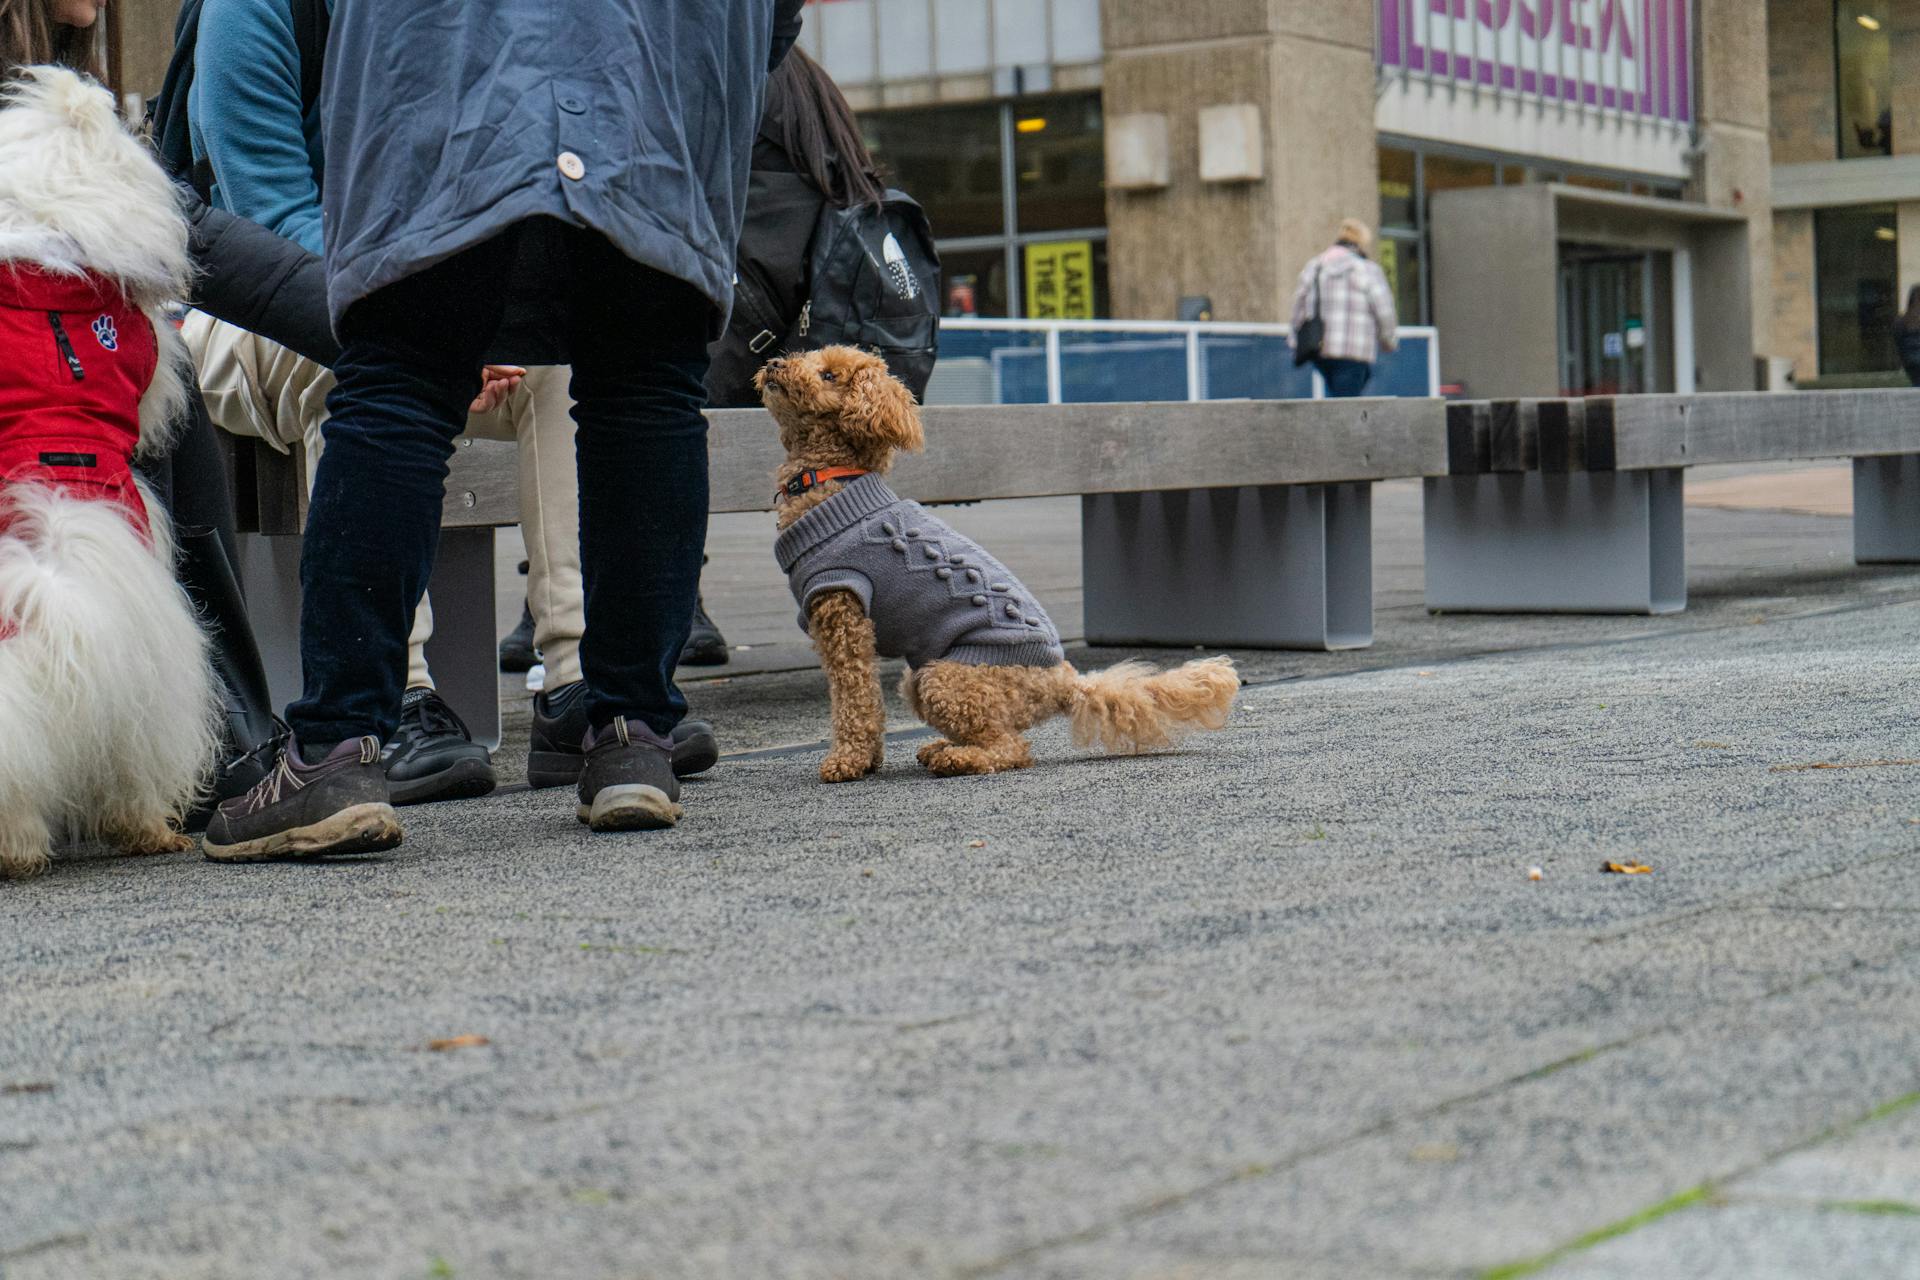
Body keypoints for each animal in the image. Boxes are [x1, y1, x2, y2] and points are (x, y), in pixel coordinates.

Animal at [756, 347, 1236, 782]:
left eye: (829, 374)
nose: (775, 363)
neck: (832, 482)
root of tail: (1064, 682)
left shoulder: (844, 614)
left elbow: (853, 699)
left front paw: (848, 762)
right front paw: (866, 760)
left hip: (943, 679)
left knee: (1011, 748)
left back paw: (955, 759)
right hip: (923, 679)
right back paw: (941, 748)